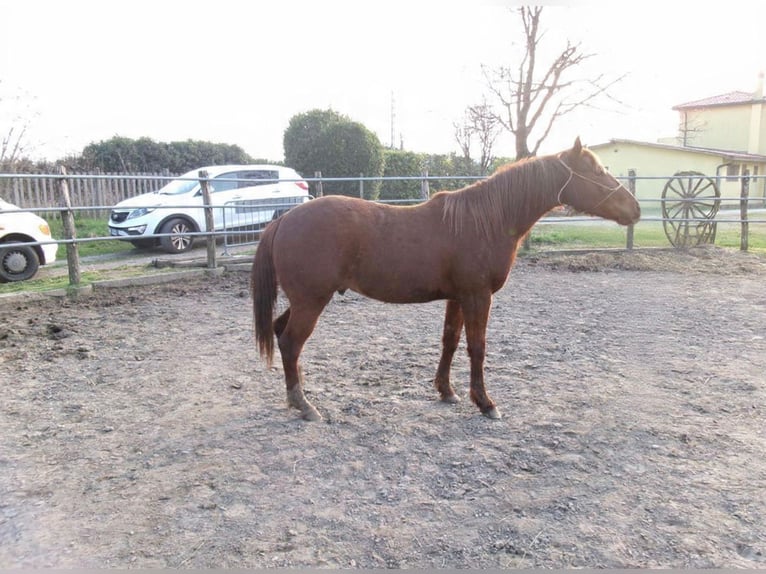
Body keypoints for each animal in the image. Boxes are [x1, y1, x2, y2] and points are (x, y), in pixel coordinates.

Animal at [252, 138, 640, 421]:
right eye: (596, 171)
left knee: (279, 332)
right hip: (312, 301)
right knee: (291, 342)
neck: (486, 221)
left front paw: (446, 391)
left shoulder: (457, 297)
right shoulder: (478, 296)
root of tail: (283, 220)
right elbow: (477, 347)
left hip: (305, 300)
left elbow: (450, 341)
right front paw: (485, 402)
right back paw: (304, 405)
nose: (634, 209)